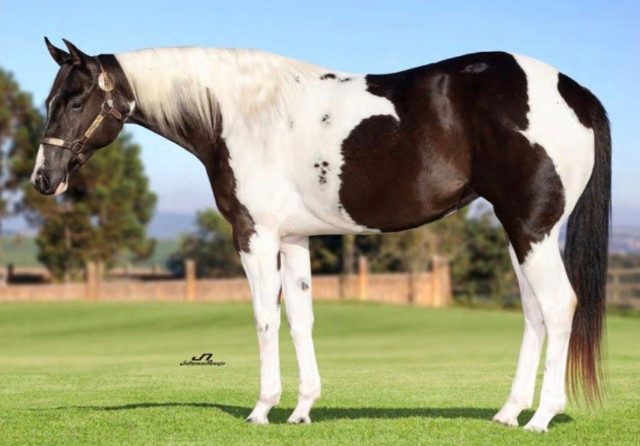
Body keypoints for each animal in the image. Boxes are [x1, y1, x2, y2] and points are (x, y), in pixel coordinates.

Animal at [33, 38, 610, 432]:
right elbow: (300, 318)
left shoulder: (255, 234)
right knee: (534, 313)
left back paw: (542, 417)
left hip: (532, 229)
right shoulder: (294, 238)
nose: (43, 178)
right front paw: (303, 409)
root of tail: (575, 92)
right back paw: (509, 412)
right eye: (49, 101)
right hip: (522, 231)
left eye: (77, 102)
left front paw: (262, 409)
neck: (242, 113)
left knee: (559, 305)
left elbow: (265, 318)